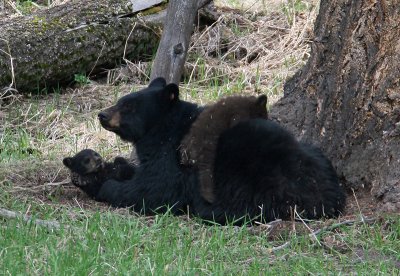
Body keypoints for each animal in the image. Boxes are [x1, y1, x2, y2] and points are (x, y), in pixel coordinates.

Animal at [73, 77, 346, 224]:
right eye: (119, 100)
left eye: (129, 105)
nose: (102, 114)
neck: (163, 128)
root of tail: (325, 197)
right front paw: (111, 169)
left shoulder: (173, 154)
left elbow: (157, 189)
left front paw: (105, 185)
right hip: (314, 152)